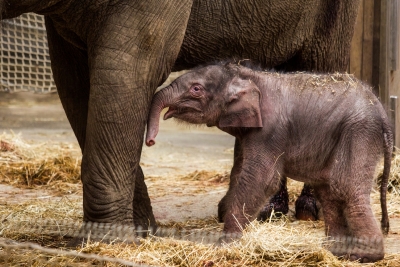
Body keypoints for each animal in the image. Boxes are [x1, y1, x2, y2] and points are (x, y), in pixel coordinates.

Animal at [0, 1, 360, 236]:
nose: (151, 139)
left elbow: (129, 67)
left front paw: (111, 241)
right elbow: (74, 82)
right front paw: (141, 231)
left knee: (321, 64)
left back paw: (309, 213)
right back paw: (264, 211)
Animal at [145, 62, 392, 264]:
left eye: (196, 89)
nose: (150, 141)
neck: (248, 74)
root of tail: (382, 112)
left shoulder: (269, 131)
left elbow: (261, 180)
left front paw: (224, 247)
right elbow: (241, 173)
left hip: (359, 131)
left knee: (345, 187)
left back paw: (364, 256)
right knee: (329, 190)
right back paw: (333, 252)